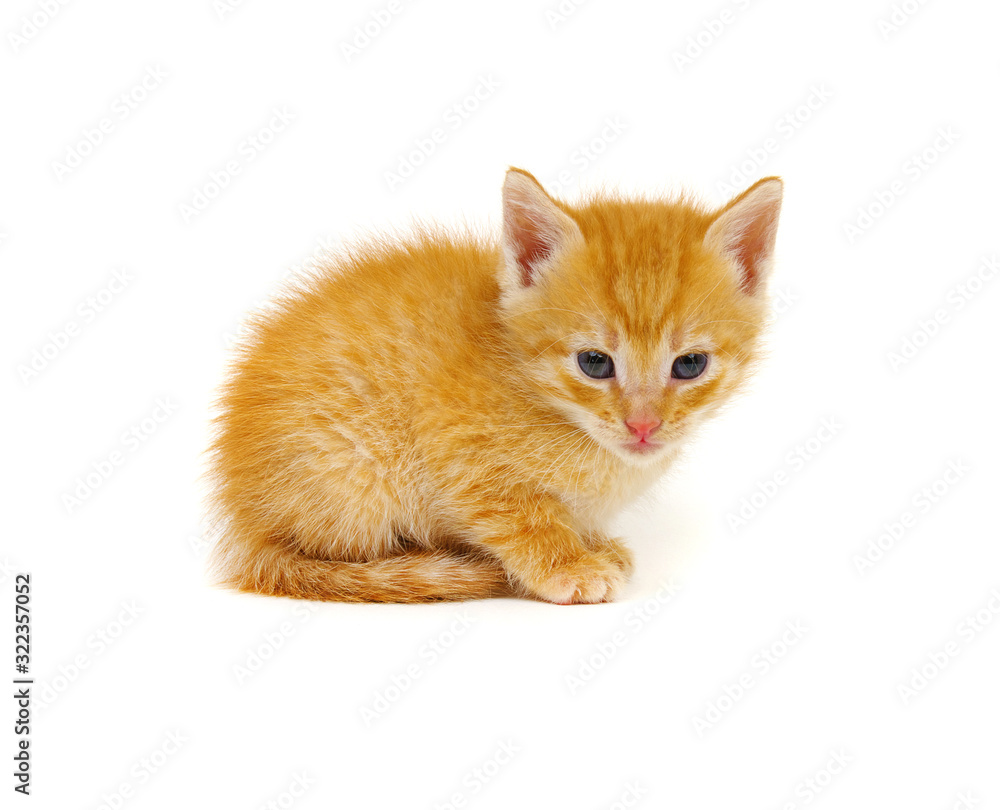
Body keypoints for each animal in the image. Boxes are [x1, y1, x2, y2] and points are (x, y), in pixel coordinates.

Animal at [209, 169, 780, 600]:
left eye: (690, 365)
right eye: (595, 363)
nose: (643, 426)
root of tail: (243, 520)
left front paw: (594, 545)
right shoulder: (458, 451)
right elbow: (521, 517)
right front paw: (567, 566)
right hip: (352, 467)